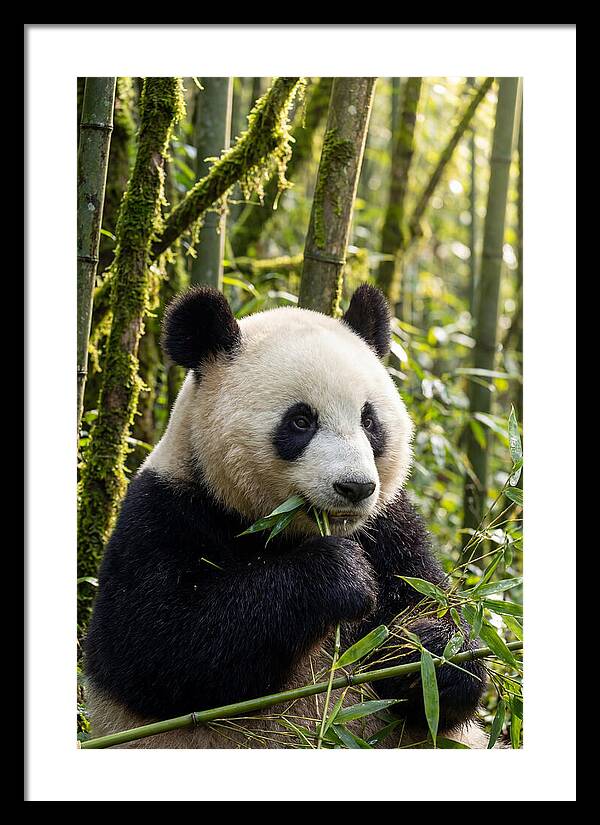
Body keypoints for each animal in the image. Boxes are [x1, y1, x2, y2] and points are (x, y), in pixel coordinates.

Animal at [85, 284, 487, 748]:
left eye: (369, 421)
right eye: (300, 421)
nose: (354, 488)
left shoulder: (390, 527)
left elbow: (436, 615)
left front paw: (425, 652)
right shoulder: (164, 514)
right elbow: (161, 648)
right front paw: (340, 575)